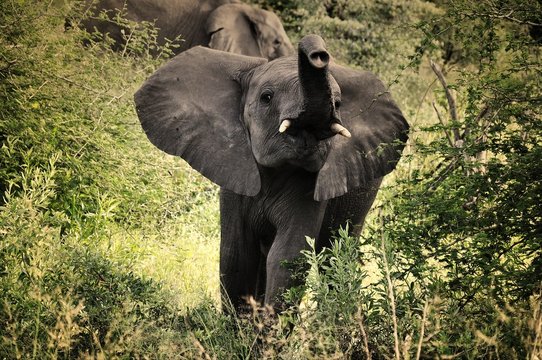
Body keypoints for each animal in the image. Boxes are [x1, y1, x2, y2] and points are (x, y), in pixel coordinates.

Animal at [134, 34, 410, 312]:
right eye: (266, 97)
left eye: (339, 104)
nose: (319, 54)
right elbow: (237, 254)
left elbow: (288, 255)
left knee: (336, 253)